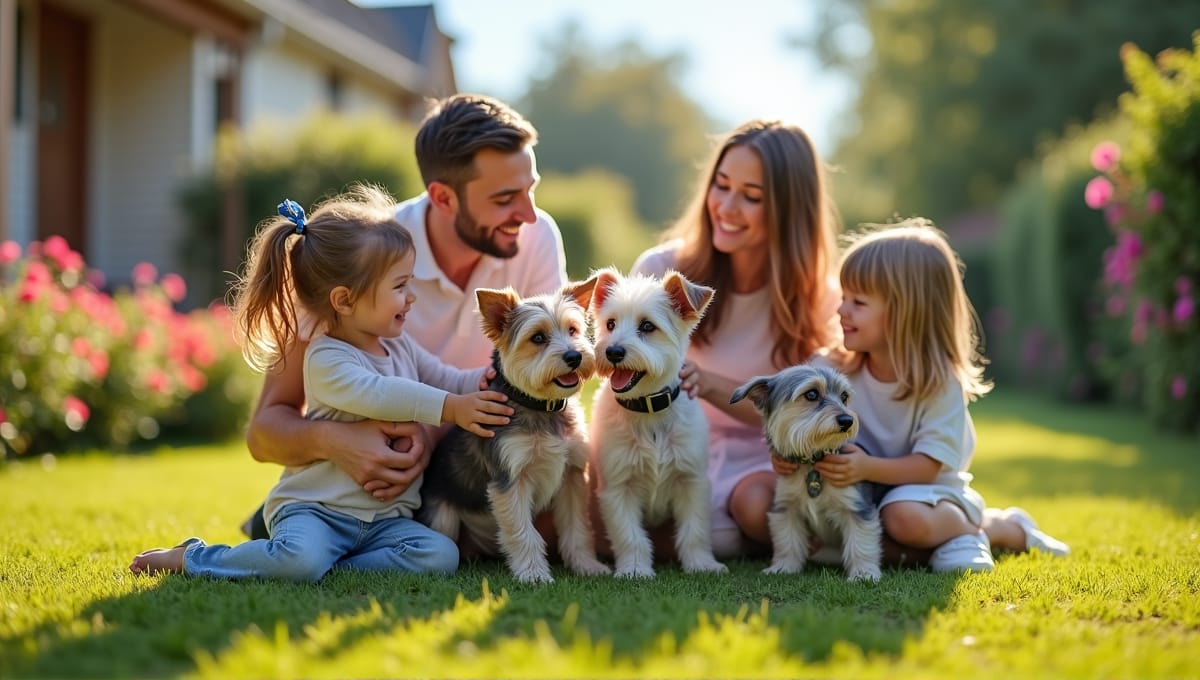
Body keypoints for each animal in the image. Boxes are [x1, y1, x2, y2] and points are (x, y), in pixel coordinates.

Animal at [724, 364, 888, 582]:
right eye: (811, 394)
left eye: (844, 396)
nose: (847, 420)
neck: (812, 461)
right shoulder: (786, 507)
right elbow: (787, 542)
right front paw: (783, 567)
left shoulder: (857, 506)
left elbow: (861, 544)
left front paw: (863, 574)